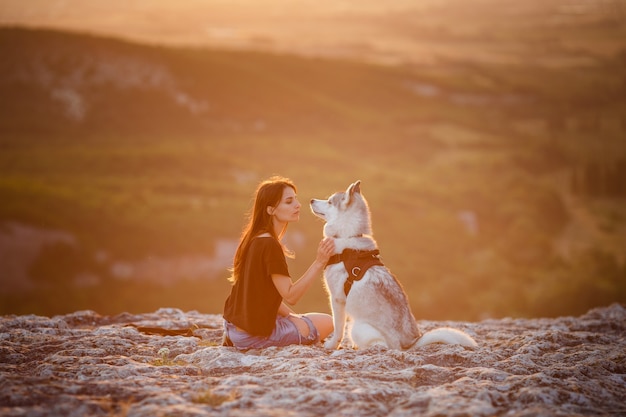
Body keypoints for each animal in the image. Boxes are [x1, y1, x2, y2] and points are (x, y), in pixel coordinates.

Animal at [310, 180, 476, 350]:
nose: (311, 200)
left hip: (356, 328)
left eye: (330, 202)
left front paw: (331, 345)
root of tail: (409, 344)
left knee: (379, 344)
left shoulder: (337, 299)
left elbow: (338, 330)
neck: (347, 236)